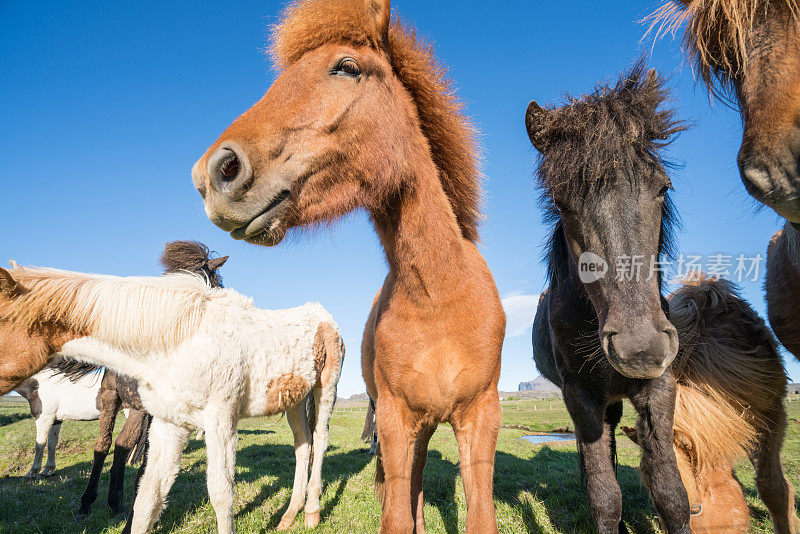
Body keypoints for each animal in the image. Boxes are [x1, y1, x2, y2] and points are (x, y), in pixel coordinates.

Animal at [0, 268, 344, 534]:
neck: (179, 340)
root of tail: (321, 315)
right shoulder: (169, 424)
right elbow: (148, 497)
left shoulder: (221, 422)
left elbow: (221, 494)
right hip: (295, 400)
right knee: (302, 443)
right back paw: (289, 516)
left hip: (325, 388)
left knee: (320, 439)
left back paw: (312, 513)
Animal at [190, 2, 504, 532]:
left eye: (346, 67)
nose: (215, 173)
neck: (440, 295)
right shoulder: (397, 420)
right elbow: (398, 512)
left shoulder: (481, 418)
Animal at [528, 63, 692, 534]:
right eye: (562, 203)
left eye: (662, 188)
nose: (641, 348)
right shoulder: (580, 394)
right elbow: (604, 497)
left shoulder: (660, 387)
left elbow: (671, 494)